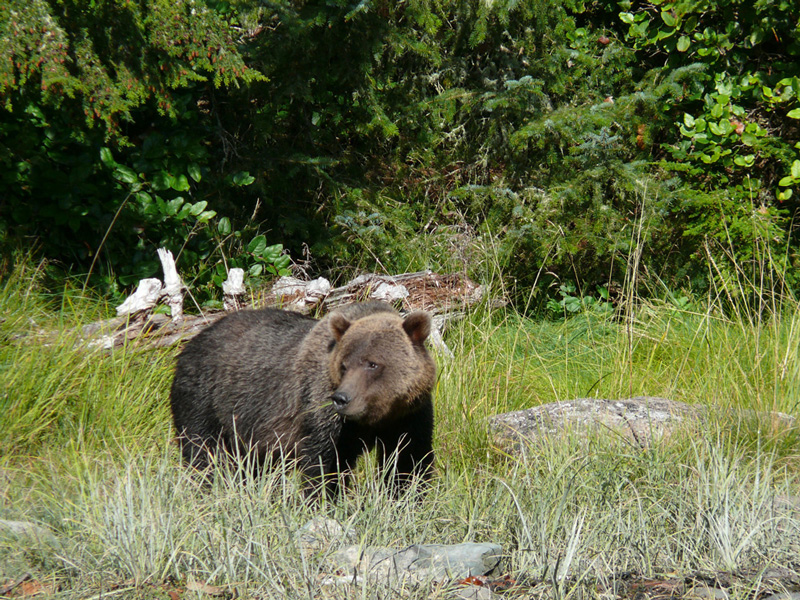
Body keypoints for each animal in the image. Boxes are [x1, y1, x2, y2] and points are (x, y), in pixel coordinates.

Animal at [168, 300, 438, 492]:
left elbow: (408, 460)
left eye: (372, 364)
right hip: (204, 398)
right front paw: (324, 499)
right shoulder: (320, 407)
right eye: (344, 365)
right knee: (204, 451)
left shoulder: (409, 414)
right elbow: (326, 462)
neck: (377, 416)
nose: (342, 398)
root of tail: (189, 344)